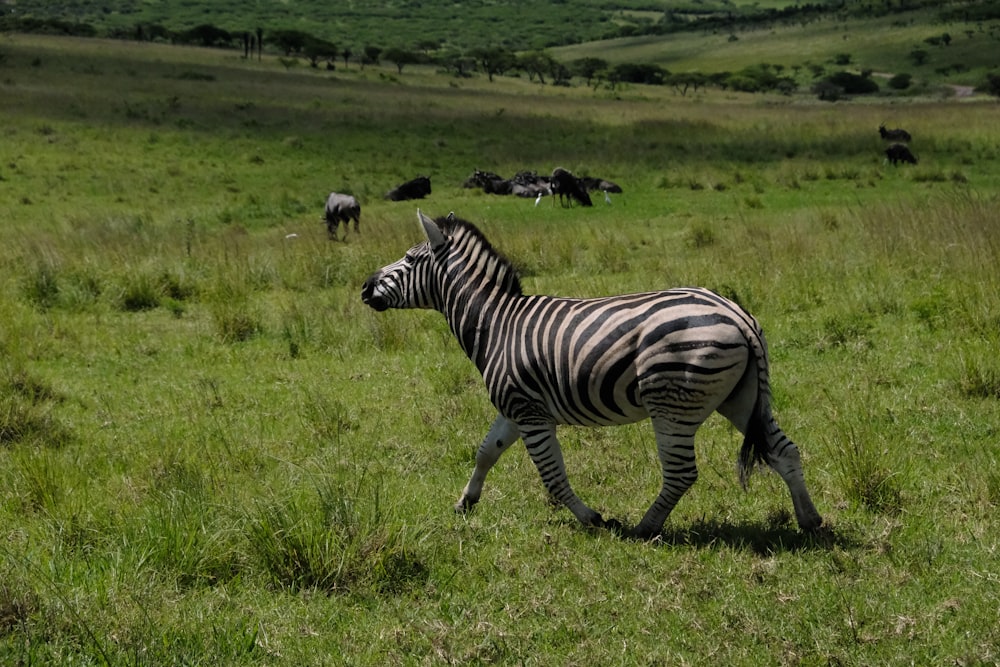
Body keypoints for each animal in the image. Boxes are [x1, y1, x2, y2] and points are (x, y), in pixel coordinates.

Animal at [360, 211, 820, 540]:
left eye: (409, 258)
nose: (364, 287)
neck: (495, 322)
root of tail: (736, 314)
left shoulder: (530, 413)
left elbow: (553, 476)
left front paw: (593, 518)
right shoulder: (513, 408)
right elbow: (485, 452)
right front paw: (465, 502)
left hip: (672, 402)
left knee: (681, 473)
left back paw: (645, 528)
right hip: (740, 399)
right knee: (785, 451)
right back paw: (810, 520)